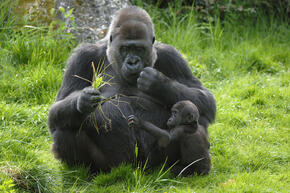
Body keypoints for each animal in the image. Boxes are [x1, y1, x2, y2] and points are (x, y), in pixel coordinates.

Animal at [48, 6, 215, 174]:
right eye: (125, 48)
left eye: (139, 49)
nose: (132, 62)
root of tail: (138, 168)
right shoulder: (82, 56)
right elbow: (55, 112)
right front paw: (83, 100)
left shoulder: (171, 55)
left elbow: (205, 98)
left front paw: (158, 83)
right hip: (113, 165)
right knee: (64, 129)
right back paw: (88, 171)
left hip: (157, 162)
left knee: (195, 117)